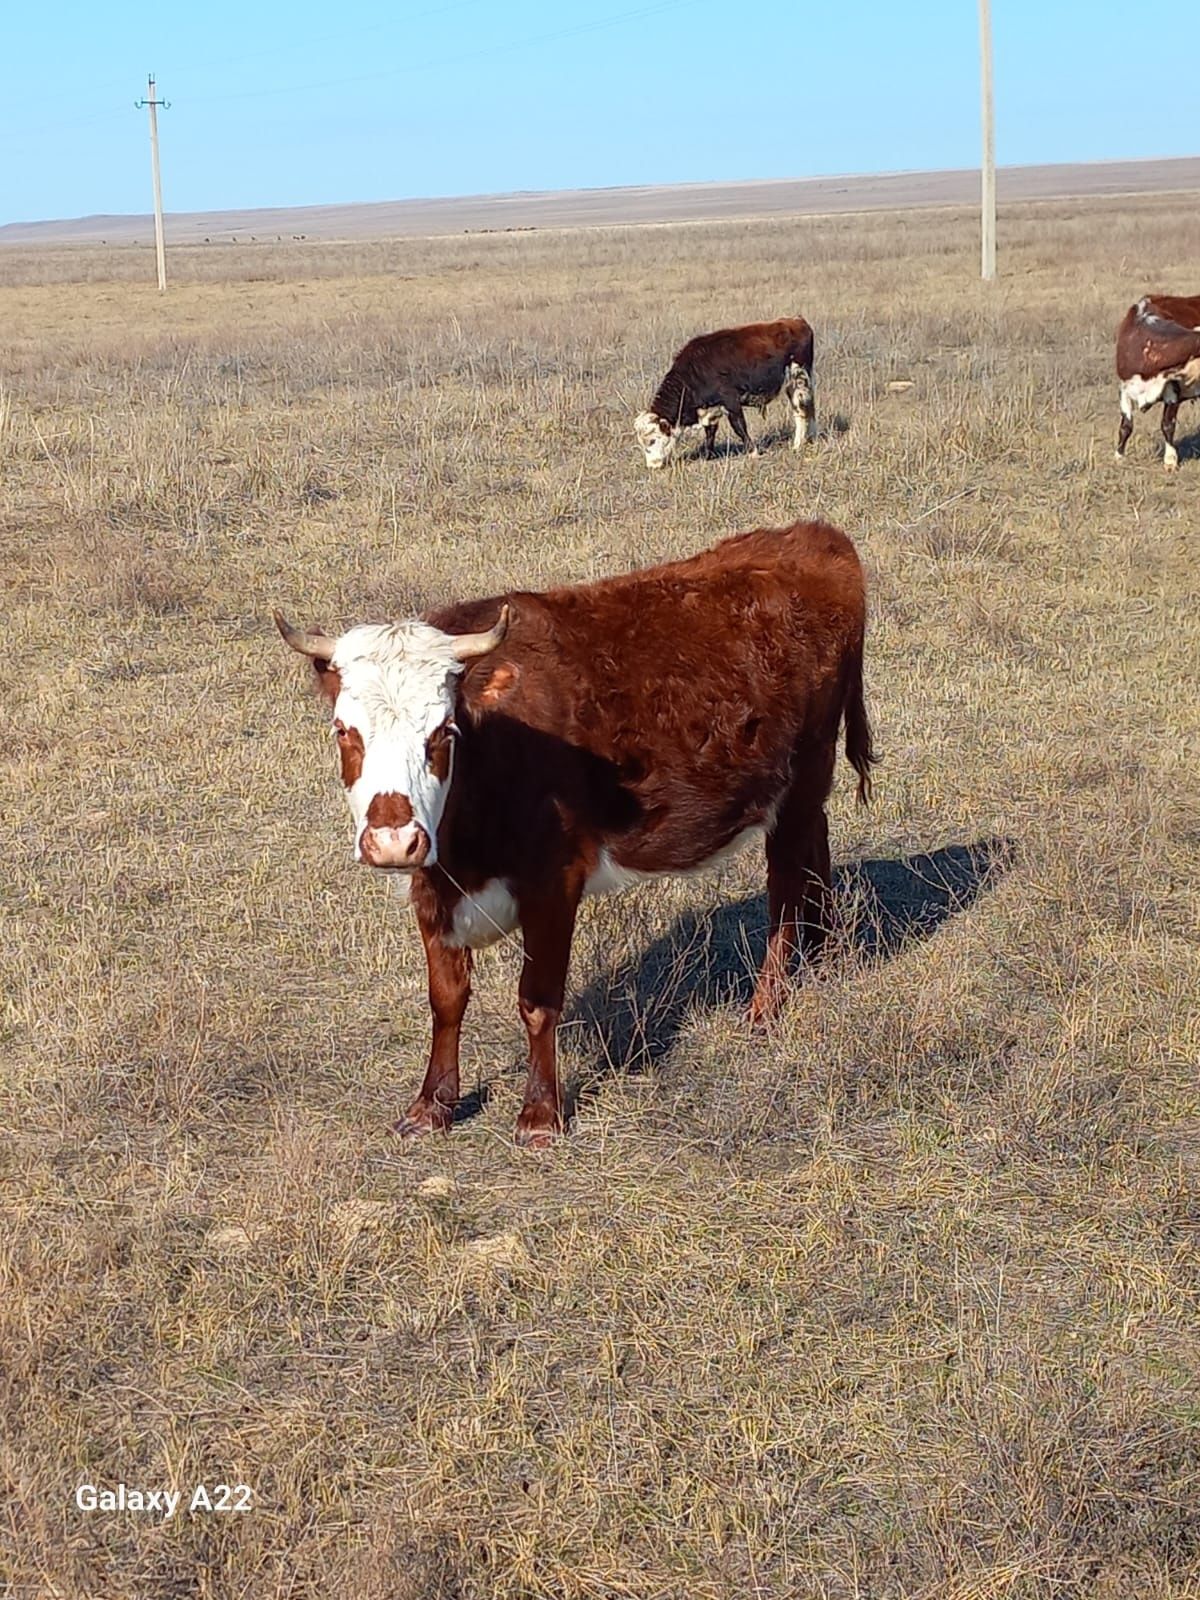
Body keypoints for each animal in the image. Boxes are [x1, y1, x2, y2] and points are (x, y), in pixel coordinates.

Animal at [272, 524, 876, 1152]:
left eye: (443, 731)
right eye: (344, 731)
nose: (393, 840)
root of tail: (813, 536)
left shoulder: (552, 883)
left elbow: (537, 999)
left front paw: (540, 1114)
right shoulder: (431, 886)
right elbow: (446, 998)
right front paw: (431, 1105)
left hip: (802, 774)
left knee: (785, 883)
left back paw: (765, 1005)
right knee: (815, 849)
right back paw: (824, 946)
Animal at [633, 316, 825, 467]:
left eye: (652, 440)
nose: (652, 465)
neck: (693, 372)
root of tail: (796, 320)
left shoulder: (731, 401)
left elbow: (739, 426)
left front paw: (753, 452)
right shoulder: (709, 409)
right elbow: (710, 433)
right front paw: (707, 456)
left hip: (798, 380)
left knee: (801, 411)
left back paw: (798, 444)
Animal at [1120, 296, 1200, 470]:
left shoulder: (1172, 389)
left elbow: (1167, 424)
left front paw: (1170, 460)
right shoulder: (1125, 387)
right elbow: (1126, 425)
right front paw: (1118, 457)